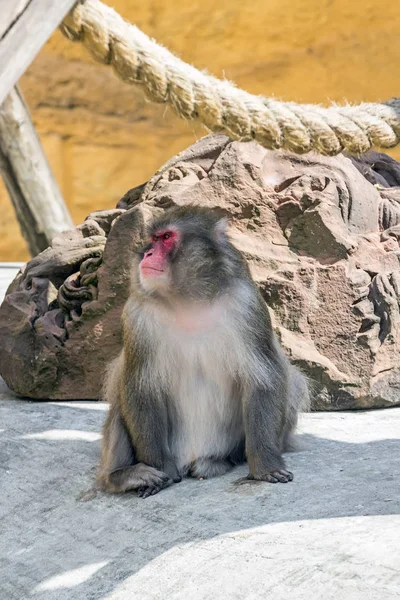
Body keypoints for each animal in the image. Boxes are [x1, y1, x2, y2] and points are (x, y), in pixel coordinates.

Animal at [97, 206, 310, 496]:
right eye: (152, 239)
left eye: (166, 237)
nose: (146, 254)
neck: (190, 301)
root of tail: (190, 457)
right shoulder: (137, 315)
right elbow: (140, 385)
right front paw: (160, 469)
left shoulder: (247, 305)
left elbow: (264, 378)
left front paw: (265, 466)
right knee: (120, 391)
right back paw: (121, 476)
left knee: (293, 382)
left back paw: (221, 460)